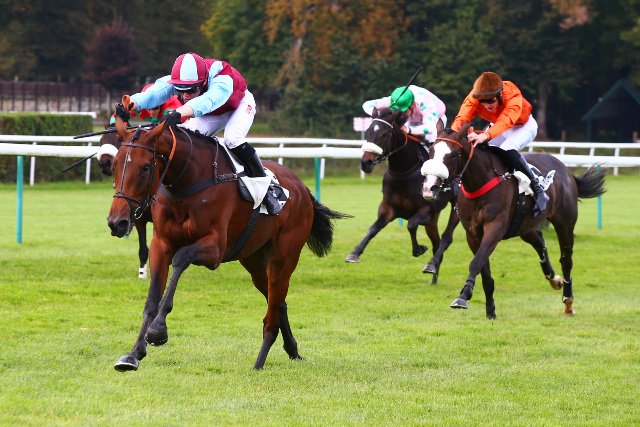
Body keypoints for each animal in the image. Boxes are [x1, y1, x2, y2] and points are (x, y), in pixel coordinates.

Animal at [98, 129, 151, 279]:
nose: (105, 164)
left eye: (118, 139)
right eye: (101, 140)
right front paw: (142, 275)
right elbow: (143, 249)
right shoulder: (138, 217)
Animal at [107, 102, 350, 371]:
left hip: (283, 258)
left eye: (145, 167)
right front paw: (133, 354)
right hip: (254, 261)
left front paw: (158, 330)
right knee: (278, 302)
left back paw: (259, 362)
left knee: (273, 310)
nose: (117, 222)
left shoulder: (215, 249)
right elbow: (151, 300)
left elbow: (181, 259)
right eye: (115, 165)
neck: (188, 181)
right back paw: (292, 349)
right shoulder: (161, 243)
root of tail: (301, 188)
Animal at [345, 107, 459, 284]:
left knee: (446, 238)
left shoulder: (426, 211)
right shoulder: (388, 209)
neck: (404, 173)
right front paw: (355, 253)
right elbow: (373, 228)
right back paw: (433, 276)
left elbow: (411, 225)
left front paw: (419, 249)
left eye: (385, 134)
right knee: (436, 243)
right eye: (369, 131)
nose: (366, 163)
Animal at [421, 123, 606, 318]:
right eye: (431, 150)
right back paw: (554, 278)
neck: (480, 183)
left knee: (566, 260)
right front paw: (490, 310)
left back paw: (568, 301)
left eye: (453, 154)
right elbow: (484, 270)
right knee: (540, 243)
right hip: (525, 227)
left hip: (565, 223)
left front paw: (463, 296)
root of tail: (566, 169)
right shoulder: (473, 234)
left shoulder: (494, 228)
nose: (429, 187)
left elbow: (476, 262)